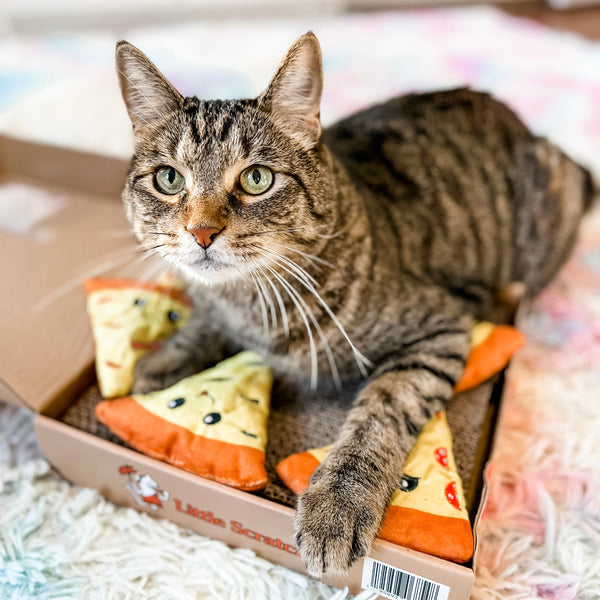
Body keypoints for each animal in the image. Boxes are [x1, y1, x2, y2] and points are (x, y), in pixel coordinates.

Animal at [115, 34, 592, 576]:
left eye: (257, 179)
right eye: (169, 179)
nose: (201, 232)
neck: (252, 304)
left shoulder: (439, 330)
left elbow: (379, 415)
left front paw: (337, 502)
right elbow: (203, 322)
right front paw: (164, 361)